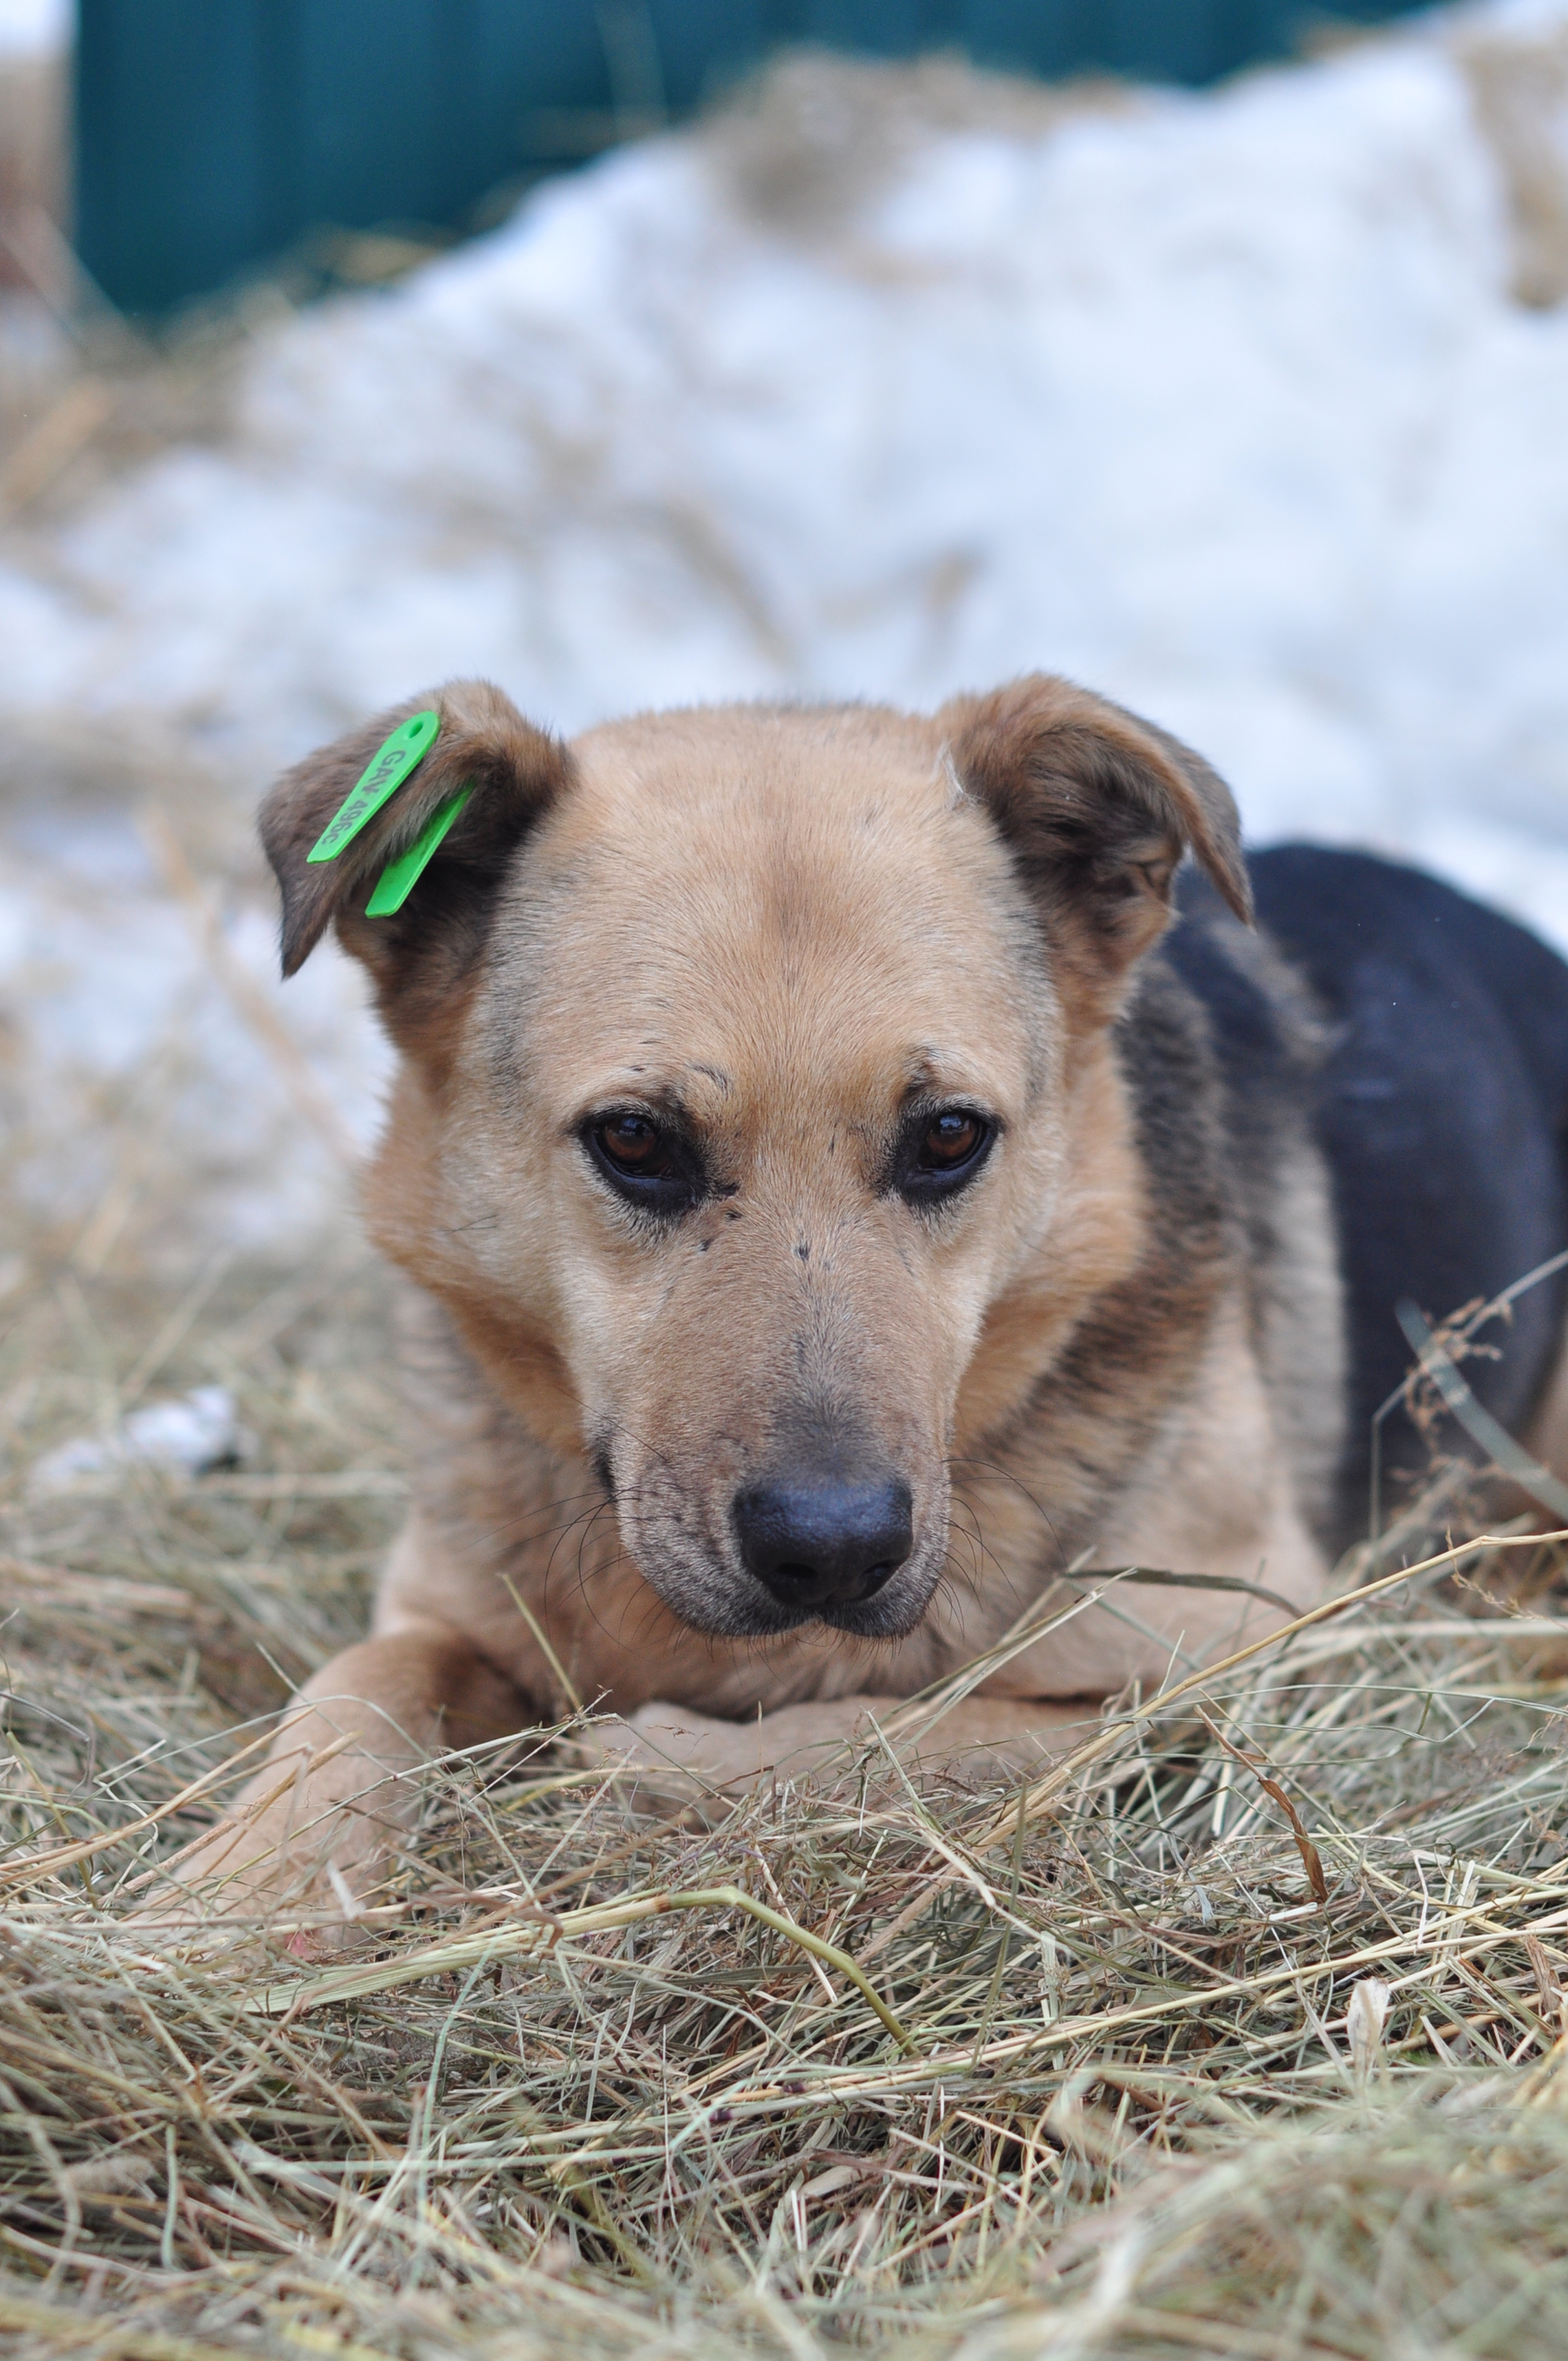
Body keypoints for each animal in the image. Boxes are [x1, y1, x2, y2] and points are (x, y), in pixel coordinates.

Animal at [171, 675, 1568, 1926]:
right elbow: (356, 1689)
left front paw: (645, 1760)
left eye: (948, 1135)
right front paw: (242, 1890)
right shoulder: (443, 1610)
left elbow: (891, 1734)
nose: (831, 1549)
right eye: (634, 1140)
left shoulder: (1256, 1647)